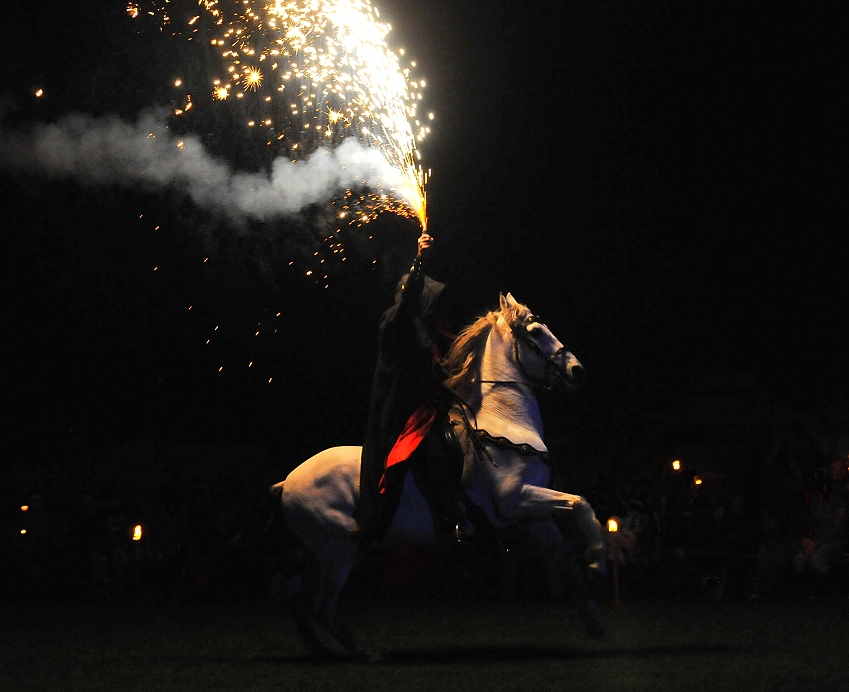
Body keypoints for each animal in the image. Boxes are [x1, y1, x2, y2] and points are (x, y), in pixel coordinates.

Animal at [274, 294, 608, 660]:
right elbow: (581, 503)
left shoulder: (532, 513)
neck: (505, 423)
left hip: (319, 552)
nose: (577, 370)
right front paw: (598, 559)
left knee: (292, 593)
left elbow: (565, 554)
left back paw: (318, 648)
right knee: (322, 605)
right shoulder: (515, 498)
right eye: (535, 332)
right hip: (339, 550)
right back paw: (364, 652)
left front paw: (594, 621)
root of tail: (287, 483)